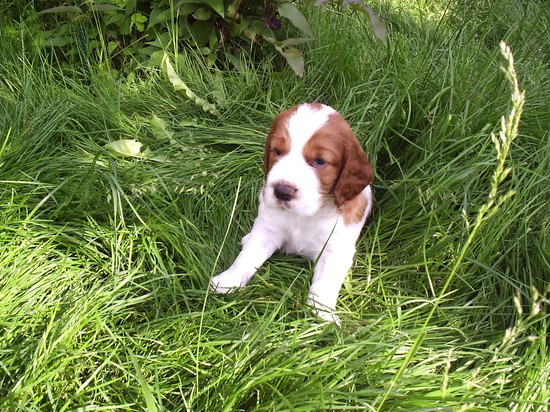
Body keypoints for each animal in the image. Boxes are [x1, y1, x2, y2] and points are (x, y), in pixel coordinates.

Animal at [210, 103, 373, 323]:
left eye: (319, 161)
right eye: (277, 151)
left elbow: (325, 283)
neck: (304, 215)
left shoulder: (336, 248)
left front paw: (323, 315)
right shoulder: (268, 228)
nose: (282, 191)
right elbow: (246, 259)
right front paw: (227, 282)